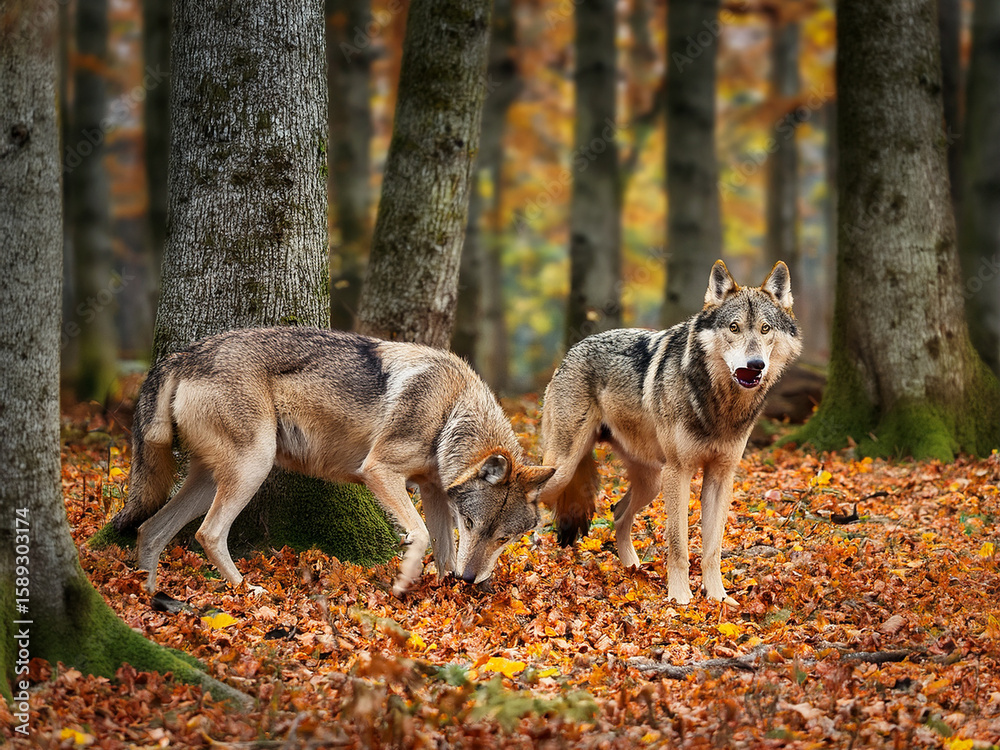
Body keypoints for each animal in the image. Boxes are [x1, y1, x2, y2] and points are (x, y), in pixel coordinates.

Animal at [112, 327, 555, 596]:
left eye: (503, 539)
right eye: (472, 524)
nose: (469, 579)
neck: (450, 413)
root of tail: (184, 354)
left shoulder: (434, 492)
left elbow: (444, 552)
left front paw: (445, 592)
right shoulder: (379, 471)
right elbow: (421, 536)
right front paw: (405, 580)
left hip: (210, 481)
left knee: (150, 530)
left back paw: (149, 594)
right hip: (253, 467)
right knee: (209, 533)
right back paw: (247, 592)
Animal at [538, 260, 801, 605]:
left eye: (765, 329)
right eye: (734, 328)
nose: (755, 364)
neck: (720, 405)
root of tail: (572, 349)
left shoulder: (721, 475)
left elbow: (712, 549)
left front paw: (718, 598)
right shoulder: (679, 472)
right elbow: (678, 545)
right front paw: (680, 598)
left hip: (651, 482)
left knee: (617, 513)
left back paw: (633, 570)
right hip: (564, 469)